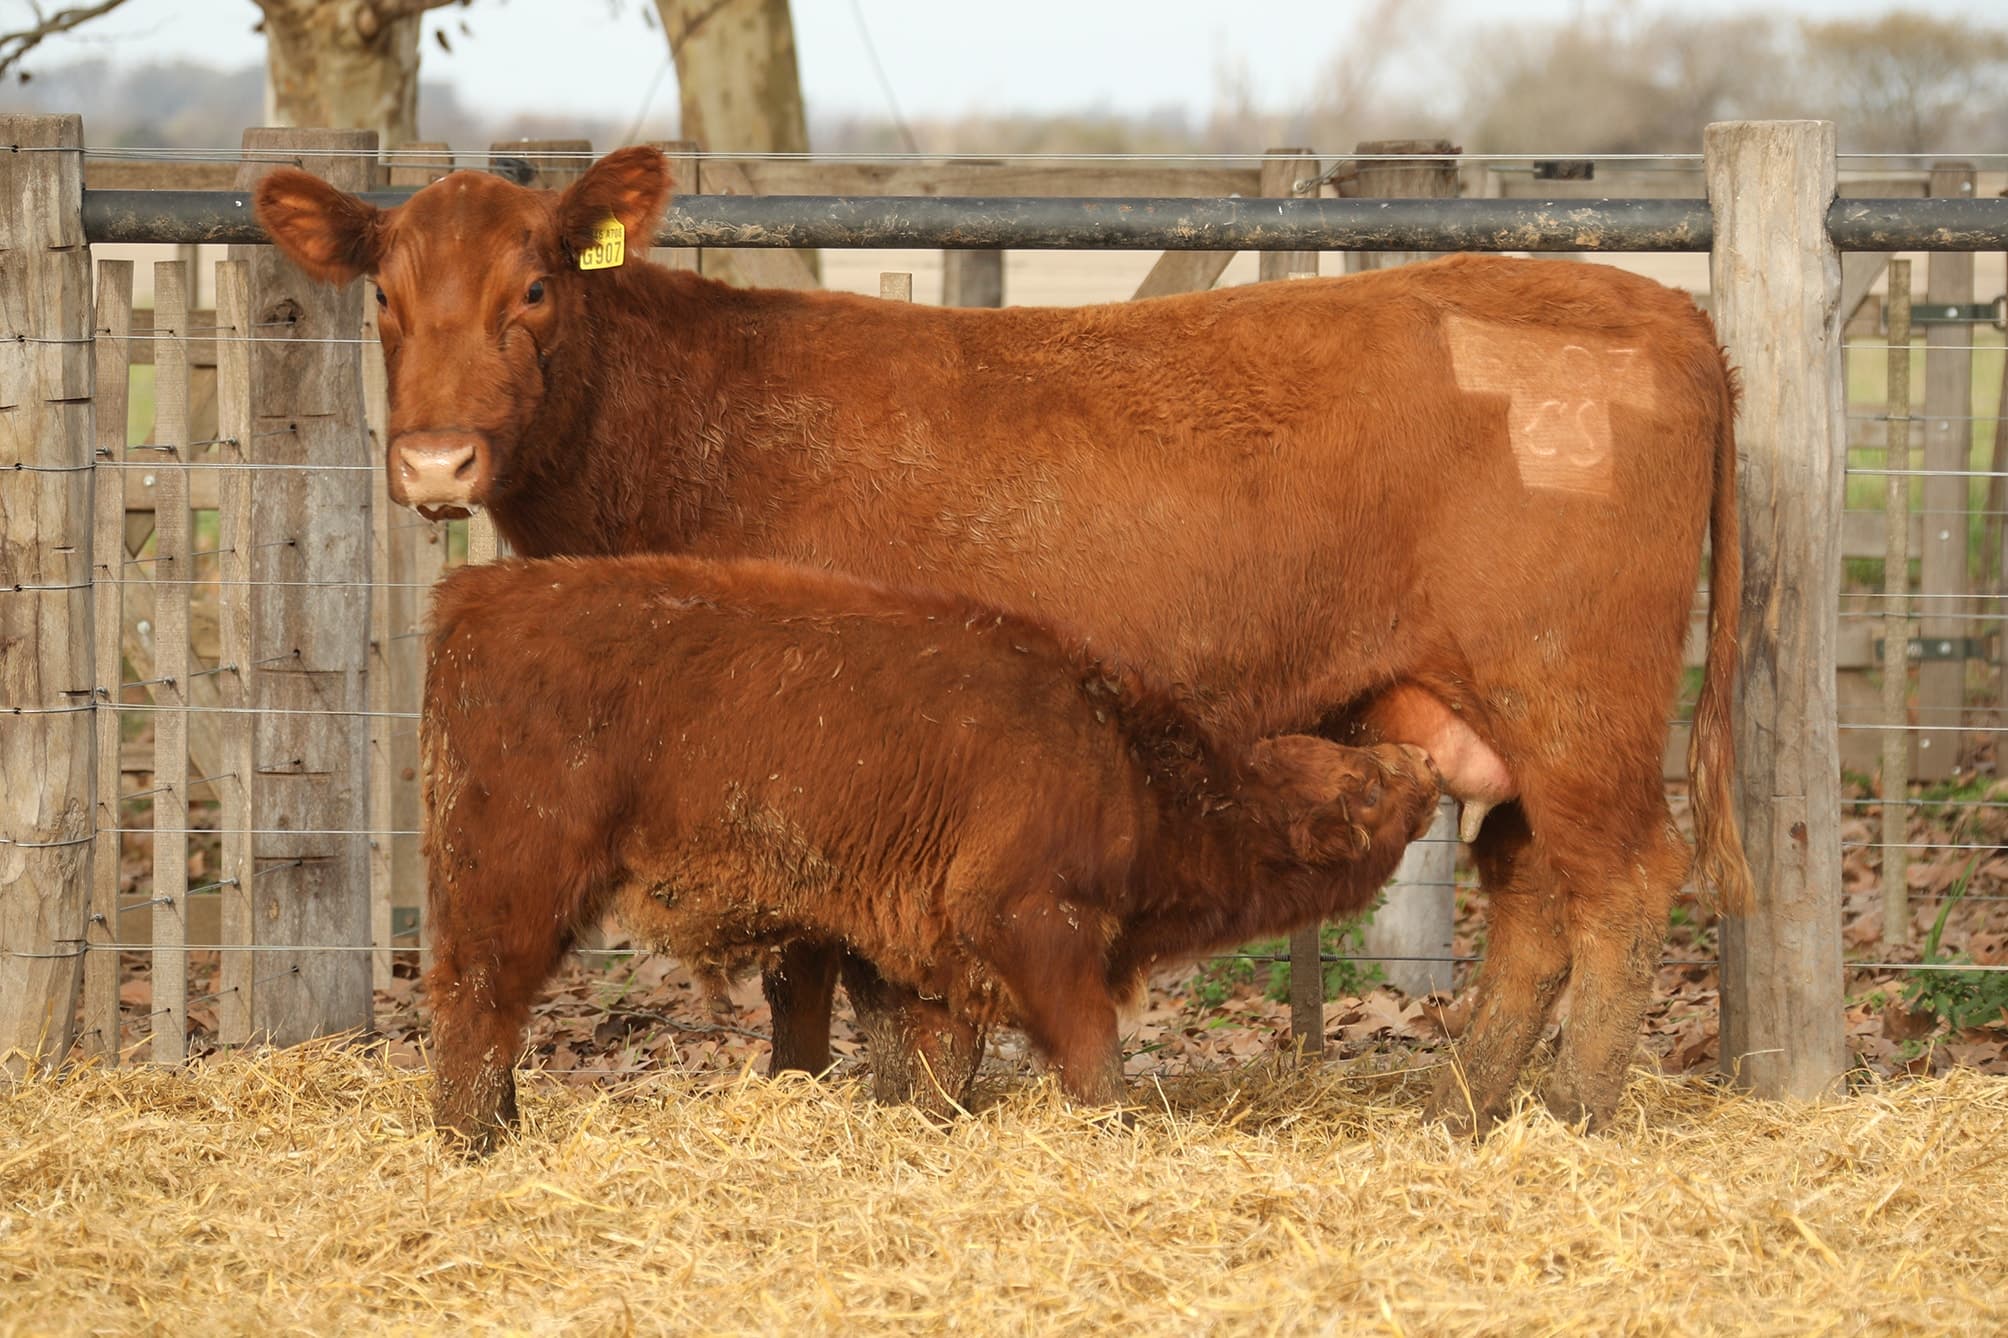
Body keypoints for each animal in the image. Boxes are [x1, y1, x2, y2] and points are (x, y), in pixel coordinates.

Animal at [421, 552, 1441, 1149]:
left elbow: (936, 1064)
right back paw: (476, 1136)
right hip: (515, 884)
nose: (1426, 761)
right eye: (1365, 785)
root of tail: (479, 595)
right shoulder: (1034, 923)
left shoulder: (933, 956)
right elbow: (1090, 1054)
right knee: (477, 1003)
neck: (1125, 762)